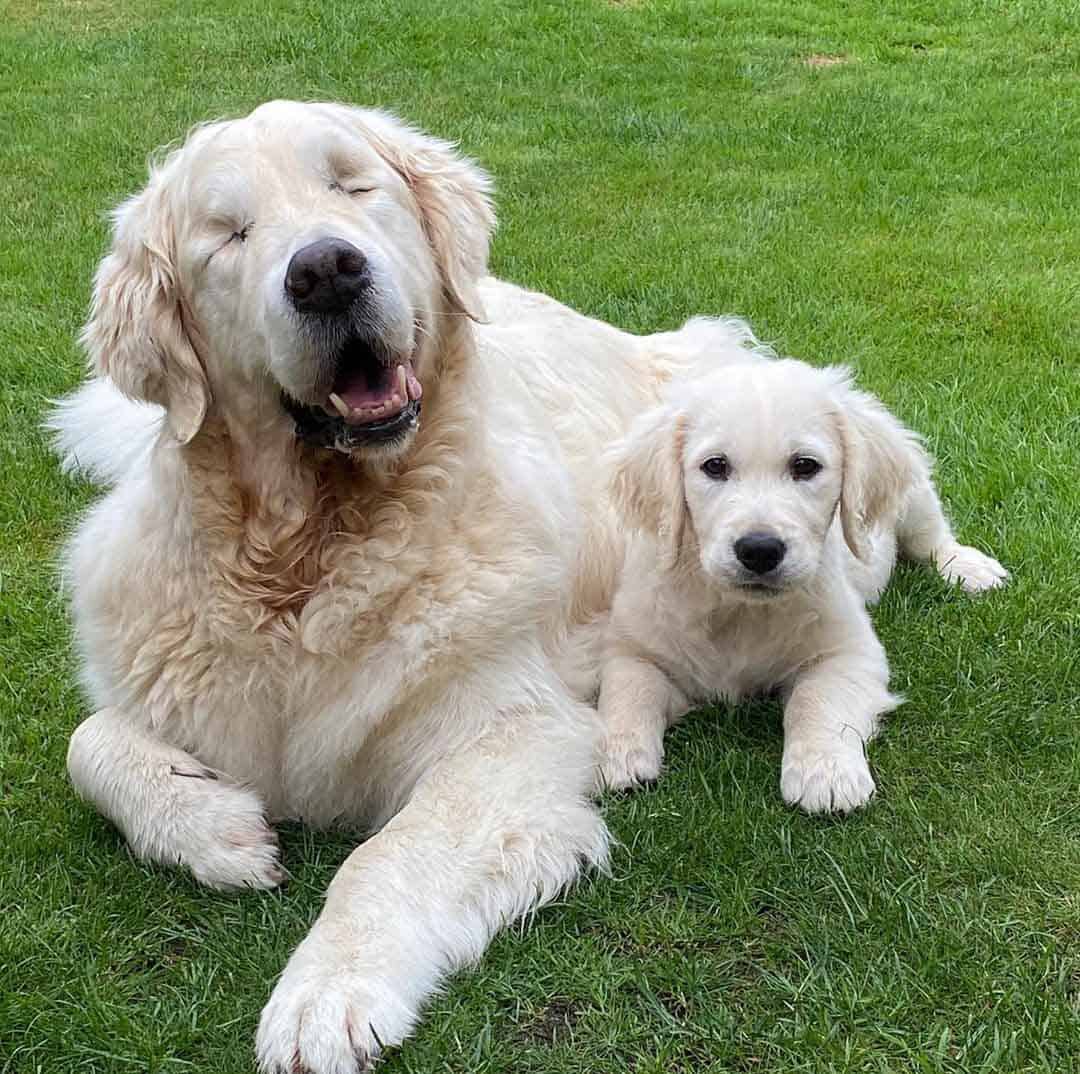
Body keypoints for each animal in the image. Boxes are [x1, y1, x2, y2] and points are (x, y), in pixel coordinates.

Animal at [48, 100, 751, 1071]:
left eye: (351, 185)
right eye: (228, 235)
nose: (326, 271)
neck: (311, 554)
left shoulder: (516, 732)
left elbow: (385, 855)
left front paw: (326, 993)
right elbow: (88, 742)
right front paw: (217, 829)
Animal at [600, 356, 1002, 808]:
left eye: (805, 466)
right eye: (715, 466)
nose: (759, 550)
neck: (739, 611)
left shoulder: (850, 652)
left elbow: (816, 699)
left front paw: (825, 771)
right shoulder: (633, 647)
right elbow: (628, 690)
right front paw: (613, 754)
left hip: (915, 498)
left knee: (932, 536)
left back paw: (969, 568)